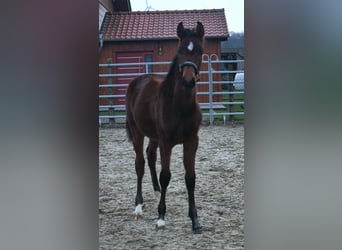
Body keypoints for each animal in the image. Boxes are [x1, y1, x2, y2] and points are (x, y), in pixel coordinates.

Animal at [126, 21, 204, 234]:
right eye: (179, 51)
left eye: (200, 51)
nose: (188, 81)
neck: (180, 106)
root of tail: (138, 80)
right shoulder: (166, 142)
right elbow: (166, 175)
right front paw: (161, 217)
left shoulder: (192, 141)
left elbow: (191, 178)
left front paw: (195, 220)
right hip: (137, 131)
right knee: (140, 163)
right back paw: (138, 206)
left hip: (154, 136)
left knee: (150, 155)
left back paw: (155, 192)